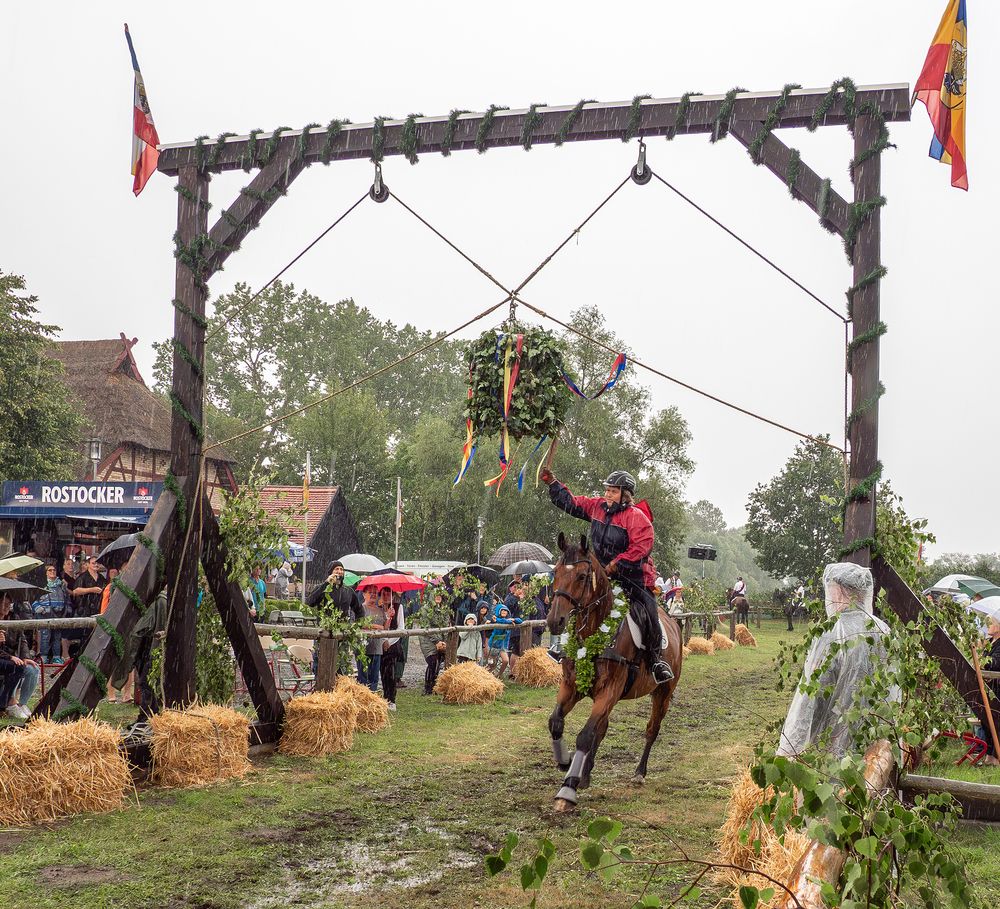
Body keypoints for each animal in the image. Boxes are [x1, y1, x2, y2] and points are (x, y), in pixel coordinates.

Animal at [544, 528, 684, 812]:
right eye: (556, 573)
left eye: (582, 576)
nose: (555, 621)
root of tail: (674, 624)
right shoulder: (571, 687)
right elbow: (556, 722)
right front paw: (565, 763)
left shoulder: (608, 691)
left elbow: (585, 736)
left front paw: (568, 789)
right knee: (602, 728)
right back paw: (585, 773)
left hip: (662, 693)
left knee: (652, 730)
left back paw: (639, 772)